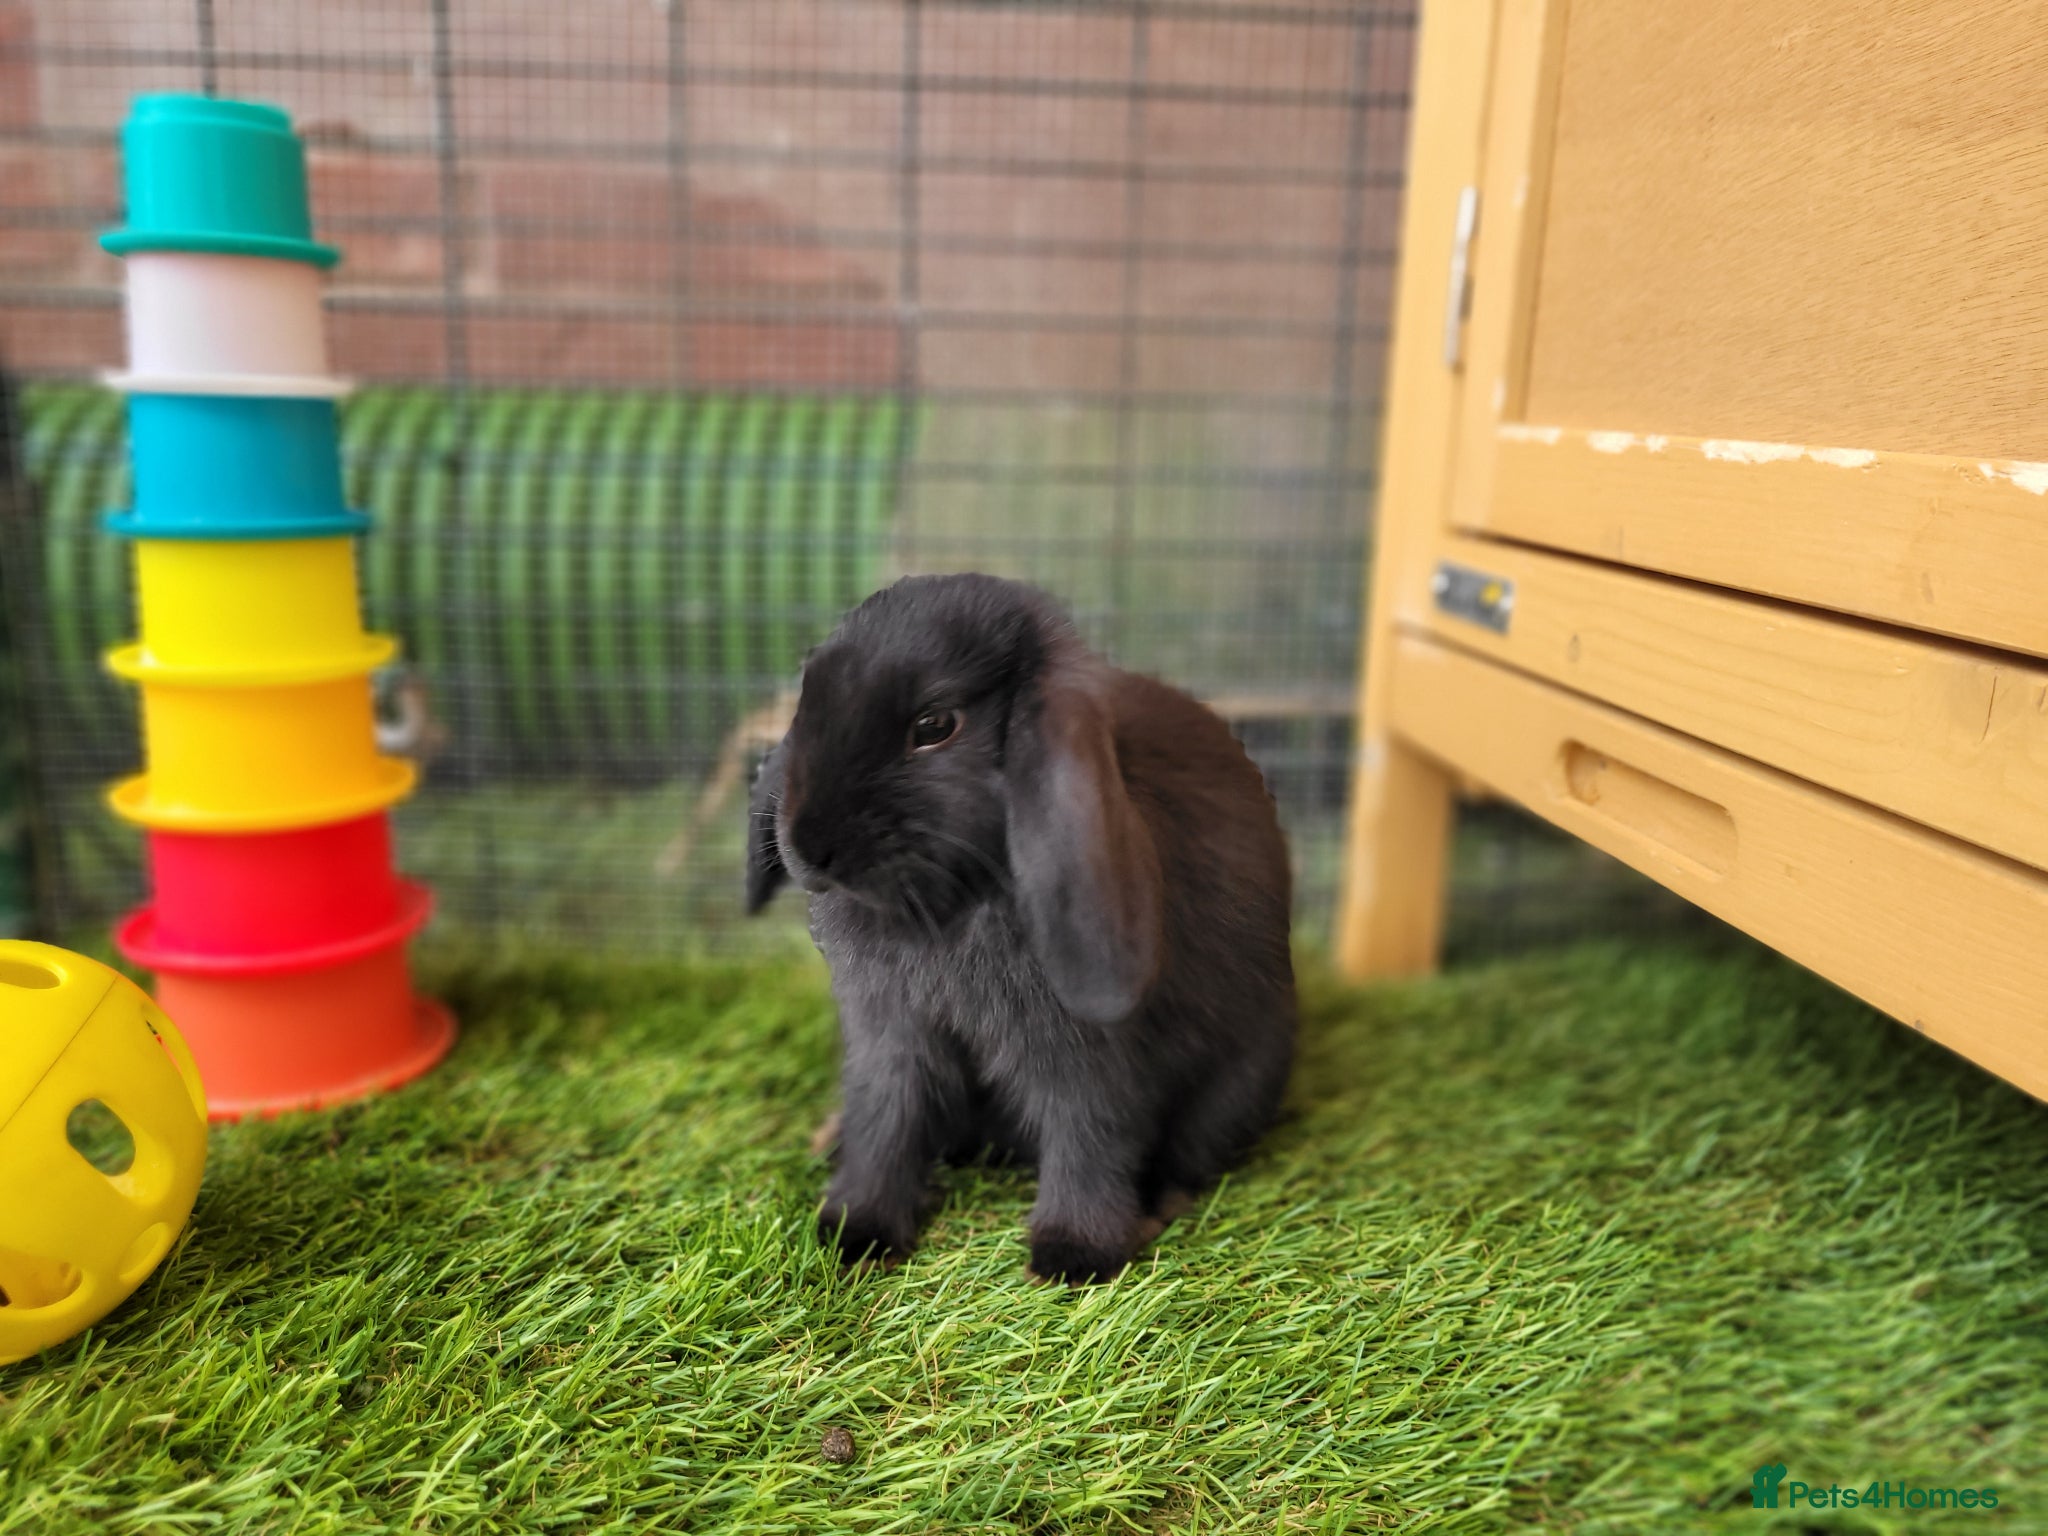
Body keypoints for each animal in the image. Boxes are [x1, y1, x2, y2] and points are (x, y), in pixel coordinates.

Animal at [746, 573, 1295, 1283]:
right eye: (808, 696)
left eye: (935, 725)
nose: (809, 846)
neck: (949, 902)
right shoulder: (890, 1040)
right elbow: (886, 1124)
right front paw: (854, 1234)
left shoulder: (1087, 1056)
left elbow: (1089, 1135)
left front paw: (1072, 1258)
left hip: (1235, 1090)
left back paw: (1155, 1210)